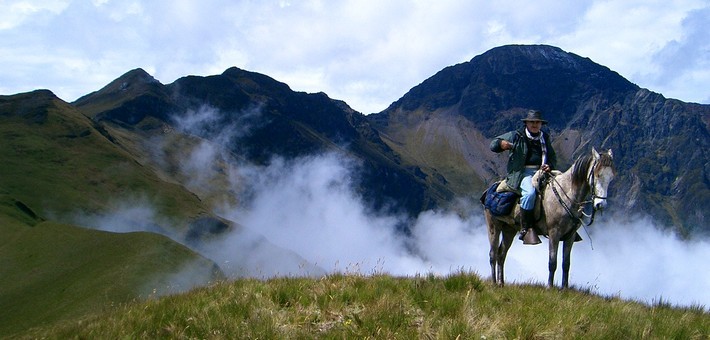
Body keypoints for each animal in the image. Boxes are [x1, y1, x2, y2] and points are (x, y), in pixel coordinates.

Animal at [486, 147, 616, 288]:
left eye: (611, 177)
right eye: (597, 175)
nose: (600, 204)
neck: (566, 195)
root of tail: (490, 190)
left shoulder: (570, 236)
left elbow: (566, 264)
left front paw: (565, 288)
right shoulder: (554, 233)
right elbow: (552, 262)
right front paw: (549, 287)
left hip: (509, 230)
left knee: (501, 254)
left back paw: (501, 282)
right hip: (493, 227)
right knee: (493, 254)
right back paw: (494, 282)